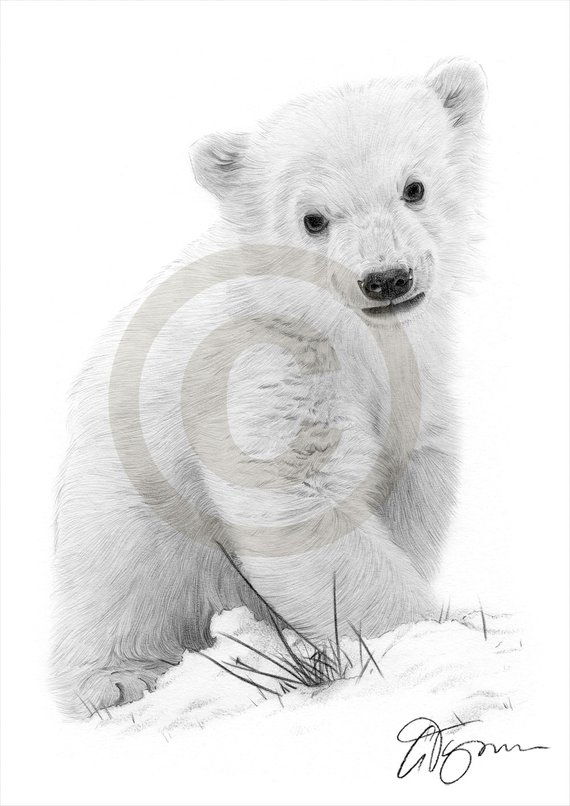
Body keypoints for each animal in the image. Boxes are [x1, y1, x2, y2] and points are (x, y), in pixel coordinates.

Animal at [52, 57, 486, 717]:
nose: (387, 278)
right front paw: (429, 630)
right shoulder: (262, 368)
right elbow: (301, 497)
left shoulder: (418, 381)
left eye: (414, 187)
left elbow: (412, 484)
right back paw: (115, 678)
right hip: (126, 507)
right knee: (120, 579)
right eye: (313, 219)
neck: (347, 334)